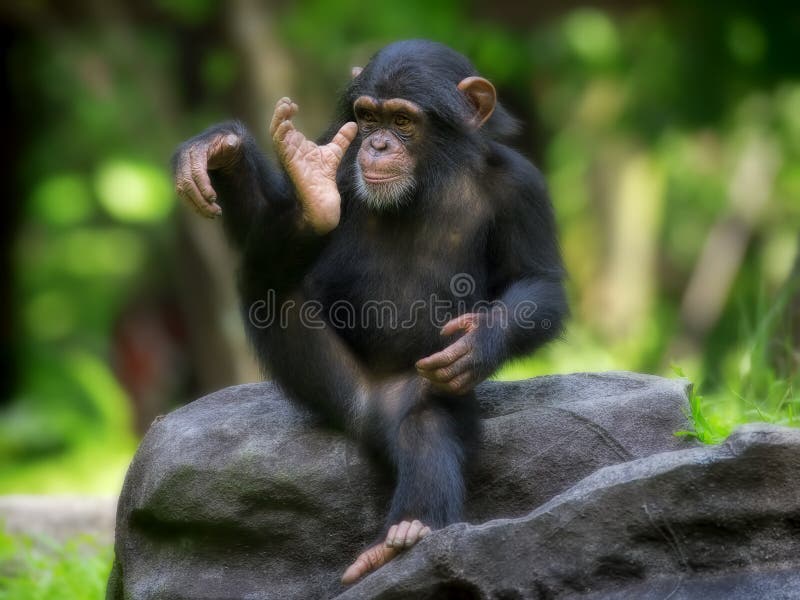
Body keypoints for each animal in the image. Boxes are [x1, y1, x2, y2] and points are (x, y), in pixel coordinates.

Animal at [172, 39, 564, 584]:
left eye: (402, 120)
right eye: (367, 117)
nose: (376, 145)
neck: (432, 174)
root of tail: (367, 411)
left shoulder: (523, 188)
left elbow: (539, 280)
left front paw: (479, 343)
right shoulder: (336, 146)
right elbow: (264, 218)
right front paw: (221, 148)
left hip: (414, 391)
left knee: (428, 428)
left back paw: (406, 531)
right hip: (324, 380)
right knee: (267, 281)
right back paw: (314, 202)